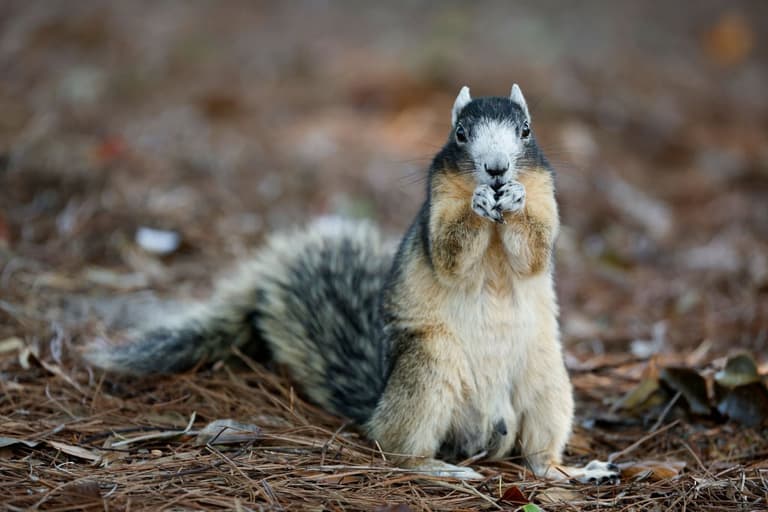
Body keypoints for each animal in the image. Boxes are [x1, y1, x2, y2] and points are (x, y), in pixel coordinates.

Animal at [85, 85, 620, 484]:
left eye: (526, 131)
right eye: (461, 133)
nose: (496, 169)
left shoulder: (545, 195)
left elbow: (535, 249)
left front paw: (515, 199)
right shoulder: (437, 205)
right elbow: (450, 254)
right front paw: (478, 206)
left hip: (547, 380)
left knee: (537, 456)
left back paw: (572, 471)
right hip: (428, 367)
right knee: (396, 448)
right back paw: (440, 469)